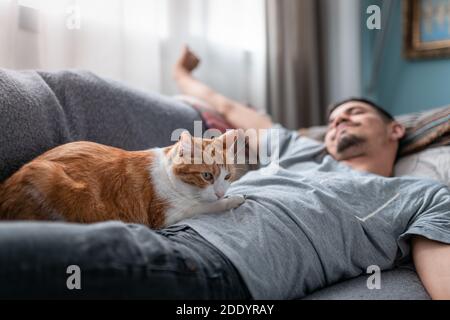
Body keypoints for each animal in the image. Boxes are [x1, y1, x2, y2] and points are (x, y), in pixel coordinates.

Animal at [0, 130, 246, 228]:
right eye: (207, 176)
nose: (220, 193)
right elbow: (206, 206)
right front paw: (233, 200)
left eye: (227, 176)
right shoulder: (166, 216)